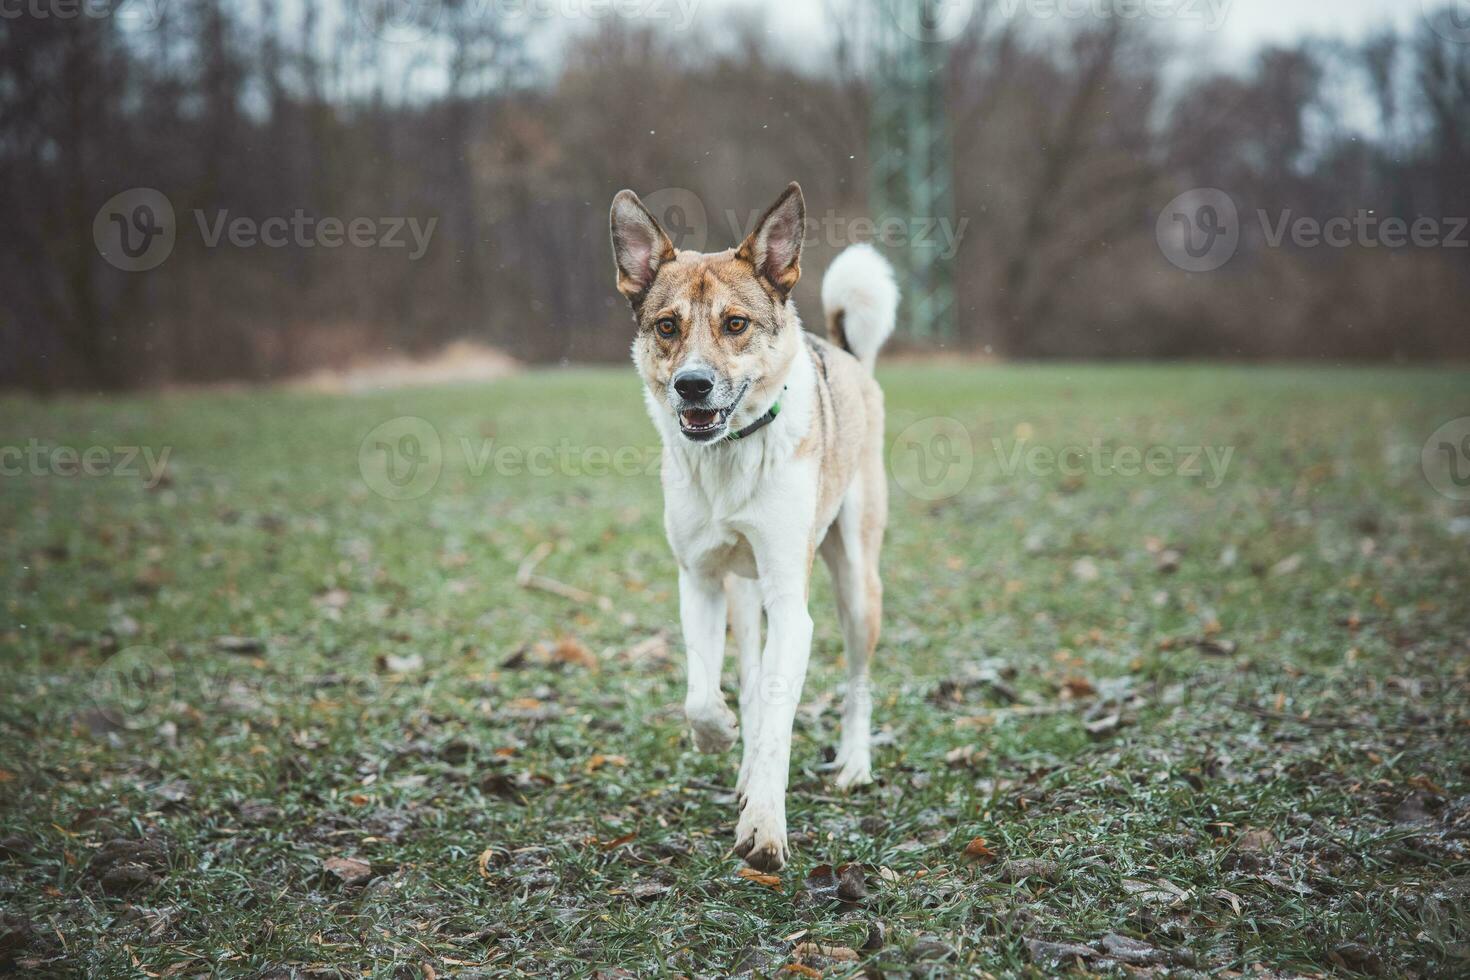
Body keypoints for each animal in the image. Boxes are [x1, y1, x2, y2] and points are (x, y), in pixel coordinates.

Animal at [605, 185, 893, 875]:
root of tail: (847, 353)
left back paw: (854, 764)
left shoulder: (791, 598)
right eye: (667, 326)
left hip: (855, 581)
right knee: (750, 675)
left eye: (735, 324)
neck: (729, 456)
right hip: (743, 592)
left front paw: (763, 824)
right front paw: (721, 737)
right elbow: (704, 695)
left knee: (857, 677)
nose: (692, 386)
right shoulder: (701, 581)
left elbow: (780, 721)